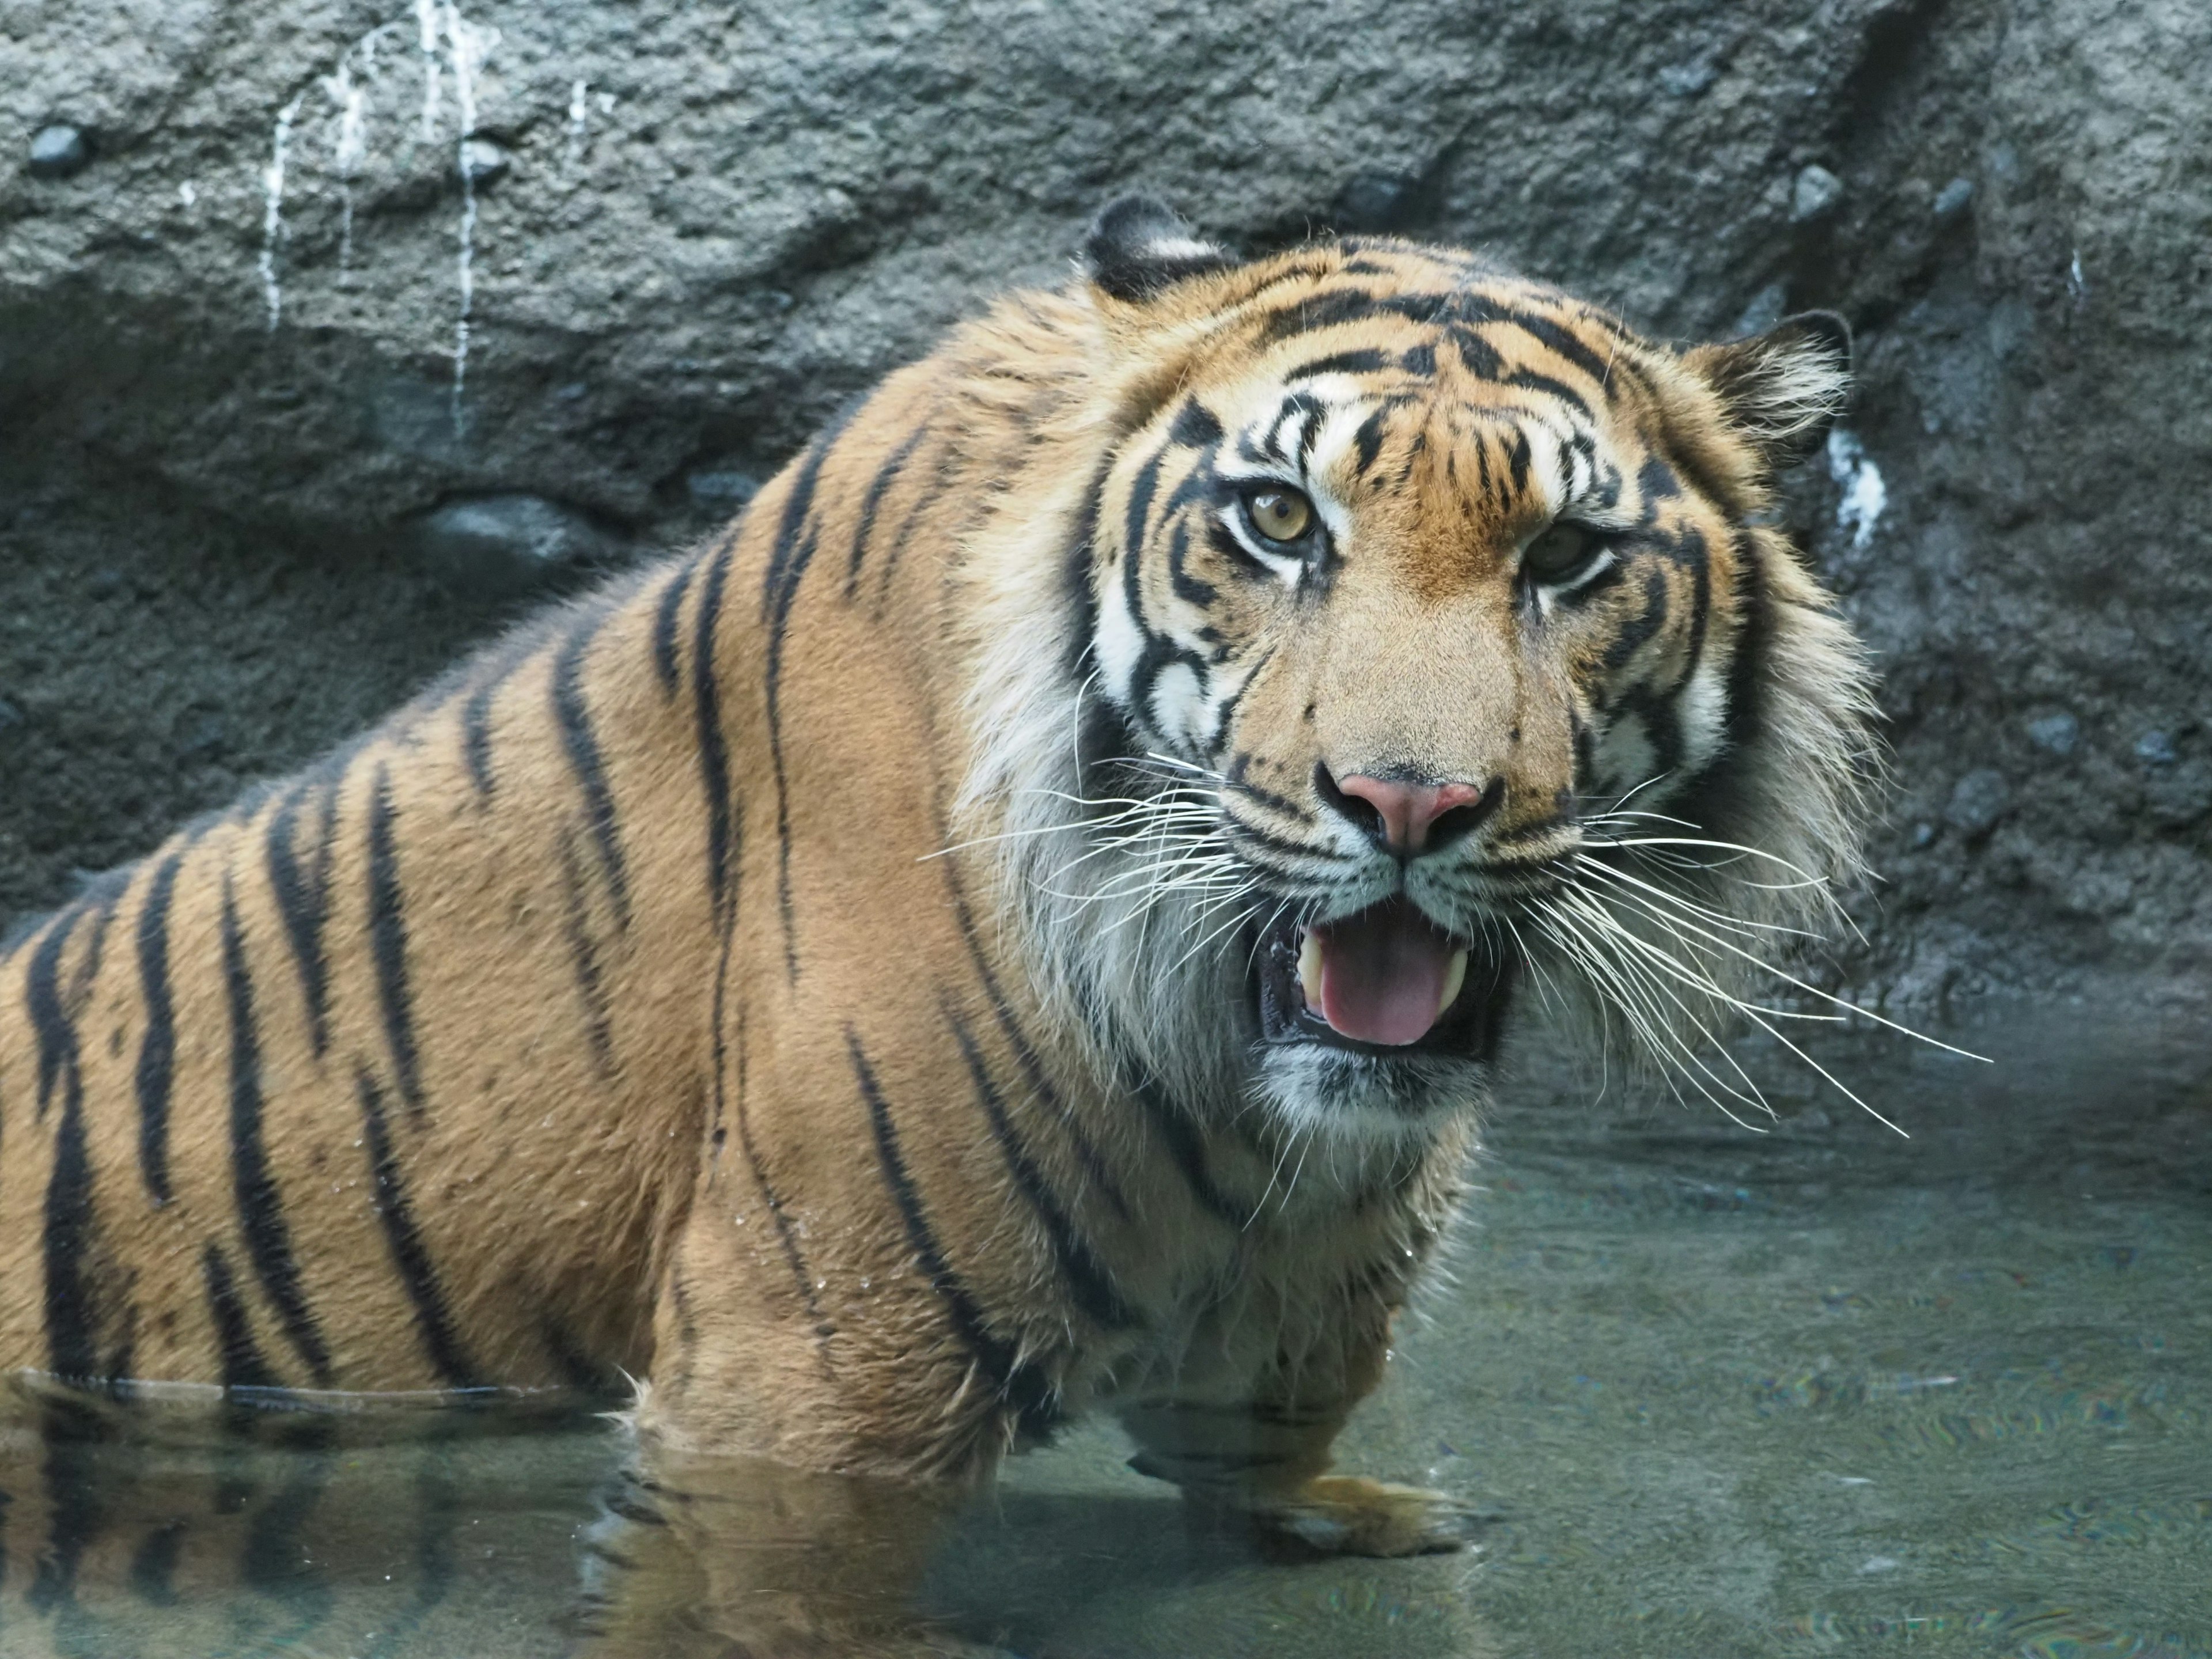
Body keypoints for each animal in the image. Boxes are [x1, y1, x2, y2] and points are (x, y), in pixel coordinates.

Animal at [0, 194, 1866, 1654]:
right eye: (1276, 519)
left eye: (1566, 555)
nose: (1408, 804)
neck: (1240, 1079)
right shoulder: (808, 1379)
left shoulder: (1290, 1298)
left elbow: (1258, 1443)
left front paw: (1345, 1510)